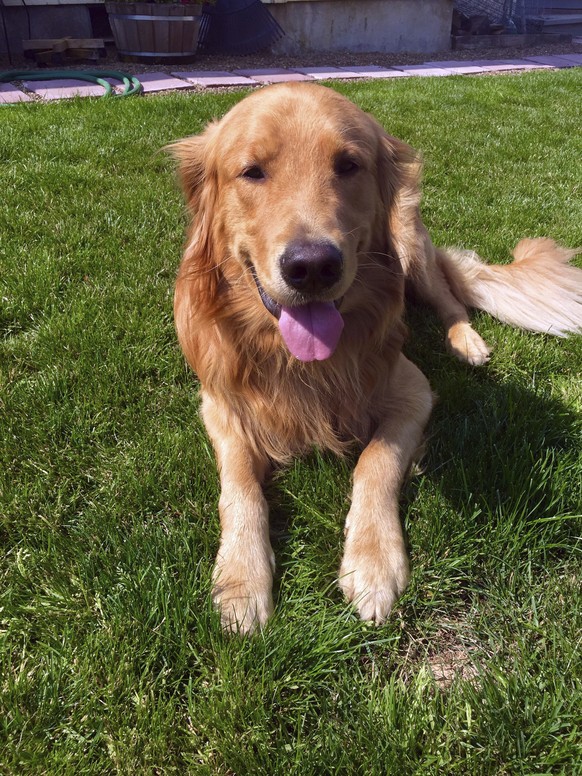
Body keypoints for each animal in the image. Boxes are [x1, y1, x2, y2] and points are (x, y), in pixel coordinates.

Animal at [171, 82, 580, 632]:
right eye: (252, 171)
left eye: (348, 165)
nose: (312, 266)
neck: (296, 358)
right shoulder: (220, 403)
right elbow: (239, 487)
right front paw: (240, 580)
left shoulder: (414, 390)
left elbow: (375, 461)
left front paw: (372, 561)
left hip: (412, 247)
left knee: (451, 299)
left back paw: (467, 343)